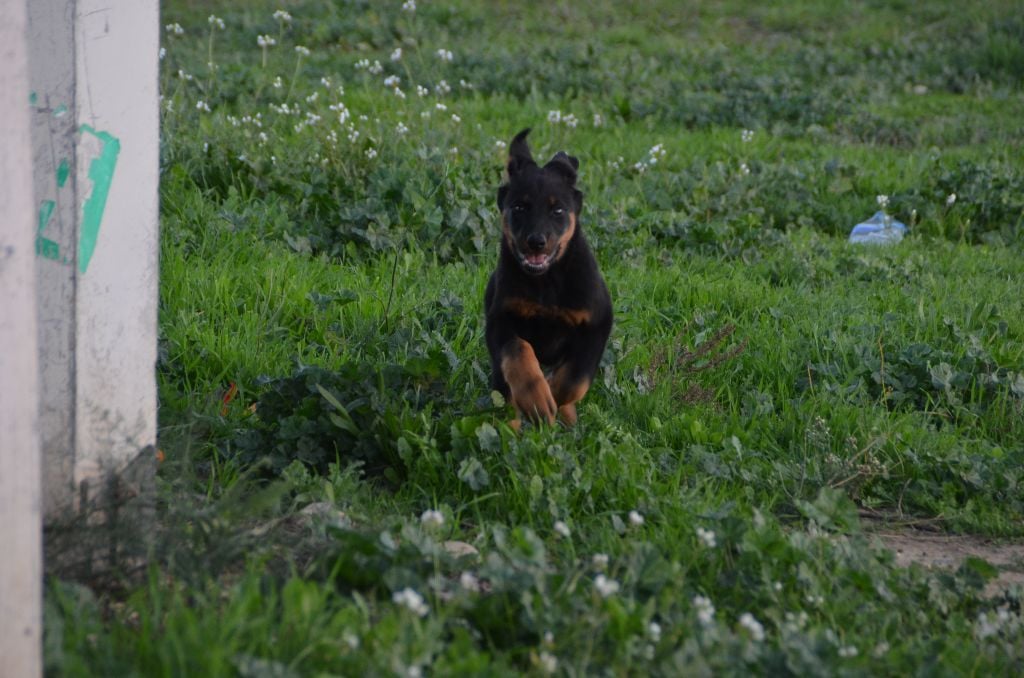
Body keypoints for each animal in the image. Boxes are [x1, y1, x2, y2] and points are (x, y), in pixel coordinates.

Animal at [483, 128, 610, 428]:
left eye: (558, 210)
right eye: (519, 208)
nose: (536, 242)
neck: (546, 281)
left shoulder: (598, 323)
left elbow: (574, 379)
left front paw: (552, 396)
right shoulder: (499, 319)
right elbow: (518, 349)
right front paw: (535, 397)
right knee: (504, 394)